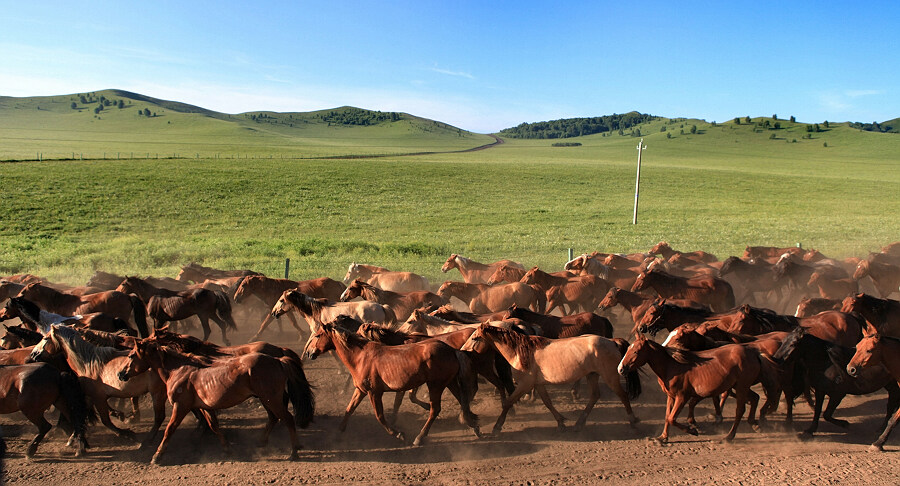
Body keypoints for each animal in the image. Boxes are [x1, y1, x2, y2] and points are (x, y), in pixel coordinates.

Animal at [117, 337, 313, 464]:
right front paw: (227, 449)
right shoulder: (205, 407)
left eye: (131, 355)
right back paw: (263, 442)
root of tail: (279, 360)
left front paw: (157, 456)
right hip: (267, 399)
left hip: (271, 399)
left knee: (287, 419)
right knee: (274, 418)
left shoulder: (181, 406)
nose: (120, 374)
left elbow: (169, 429)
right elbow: (214, 426)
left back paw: (294, 452)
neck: (179, 370)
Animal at [303, 323, 481, 446]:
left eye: (318, 336)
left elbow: (380, 416)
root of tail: (452, 350)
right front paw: (337, 434)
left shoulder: (374, 392)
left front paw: (399, 434)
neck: (360, 357)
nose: (309, 353)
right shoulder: (360, 390)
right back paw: (474, 427)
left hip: (435, 386)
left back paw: (419, 438)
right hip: (449, 383)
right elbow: (349, 410)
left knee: (435, 409)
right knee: (463, 402)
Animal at [462, 324, 640, 434]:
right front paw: (561, 423)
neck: (520, 351)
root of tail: (612, 341)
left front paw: (497, 427)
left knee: (623, 395)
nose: (463, 351)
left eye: (475, 338)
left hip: (609, 376)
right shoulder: (538, 384)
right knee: (595, 396)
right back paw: (578, 424)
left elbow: (508, 402)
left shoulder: (525, 384)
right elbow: (548, 402)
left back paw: (633, 421)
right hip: (592, 375)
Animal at [618, 333, 776, 444]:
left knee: (740, 410)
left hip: (742, 387)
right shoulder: (671, 396)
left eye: (636, 351)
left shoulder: (682, 397)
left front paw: (692, 430)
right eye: (628, 349)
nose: (621, 369)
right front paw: (662, 438)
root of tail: (755, 353)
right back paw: (755, 425)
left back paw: (729, 437)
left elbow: (672, 418)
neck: (672, 366)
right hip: (739, 386)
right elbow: (667, 416)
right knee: (755, 398)